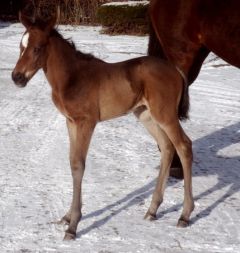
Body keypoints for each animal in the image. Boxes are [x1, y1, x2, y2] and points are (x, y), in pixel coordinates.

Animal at [12, 14, 194, 241]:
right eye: (21, 46)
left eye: (37, 48)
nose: (16, 77)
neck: (72, 77)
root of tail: (175, 70)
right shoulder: (70, 122)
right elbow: (72, 162)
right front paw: (67, 216)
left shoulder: (86, 122)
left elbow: (78, 165)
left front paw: (73, 226)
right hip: (146, 115)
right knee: (168, 147)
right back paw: (152, 210)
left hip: (165, 115)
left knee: (184, 146)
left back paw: (184, 215)